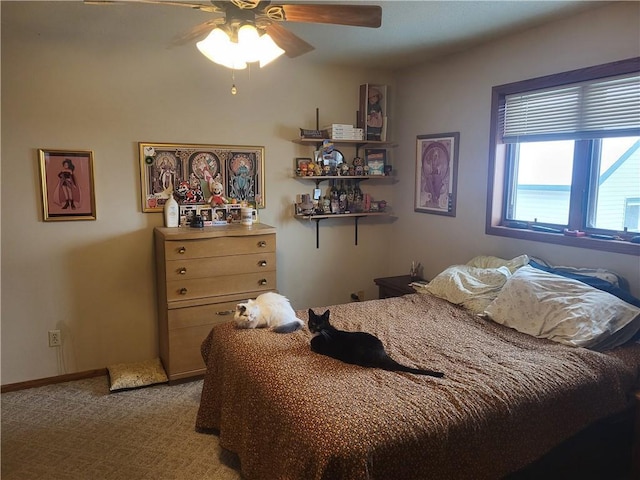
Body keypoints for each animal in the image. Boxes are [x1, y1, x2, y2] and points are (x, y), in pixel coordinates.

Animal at [308, 308, 442, 378]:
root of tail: (383, 353)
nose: (314, 329)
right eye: (312, 323)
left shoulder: (316, 346)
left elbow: (311, 346)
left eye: (321, 324)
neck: (325, 331)